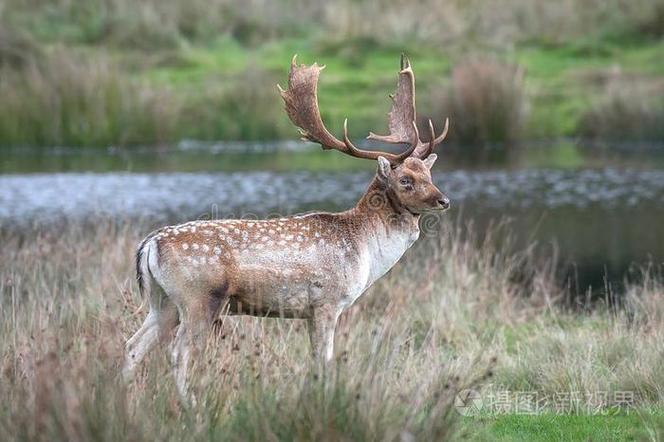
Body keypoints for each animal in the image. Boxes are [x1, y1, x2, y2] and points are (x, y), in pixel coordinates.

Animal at [122, 53, 448, 398]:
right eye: (405, 180)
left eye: (429, 175)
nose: (444, 200)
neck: (364, 249)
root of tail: (149, 245)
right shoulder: (326, 302)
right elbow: (323, 361)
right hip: (198, 297)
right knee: (179, 352)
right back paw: (191, 405)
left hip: (163, 302)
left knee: (133, 346)